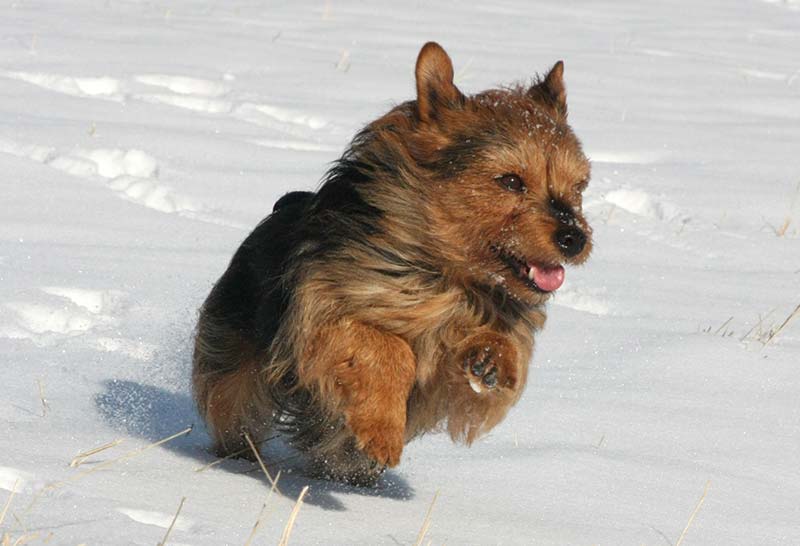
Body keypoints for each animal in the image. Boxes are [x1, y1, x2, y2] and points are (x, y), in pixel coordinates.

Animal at [193, 42, 592, 482]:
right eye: (510, 181)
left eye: (579, 186)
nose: (574, 238)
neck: (444, 275)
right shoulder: (321, 316)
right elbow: (390, 349)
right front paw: (382, 432)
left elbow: (497, 355)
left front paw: (491, 357)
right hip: (233, 366)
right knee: (233, 410)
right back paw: (240, 458)